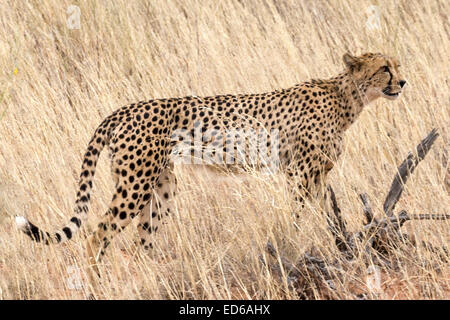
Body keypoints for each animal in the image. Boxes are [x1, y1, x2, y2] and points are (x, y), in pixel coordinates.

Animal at [15, 53, 406, 272]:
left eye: (397, 65)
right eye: (384, 67)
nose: (403, 81)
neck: (347, 97)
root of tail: (124, 108)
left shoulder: (316, 175)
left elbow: (328, 215)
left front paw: (341, 245)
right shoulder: (301, 173)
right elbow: (296, 218)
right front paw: (291, 249)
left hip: (162, 187)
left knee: (142, 242)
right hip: (135, 185)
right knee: (97, 236)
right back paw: (97, 281)